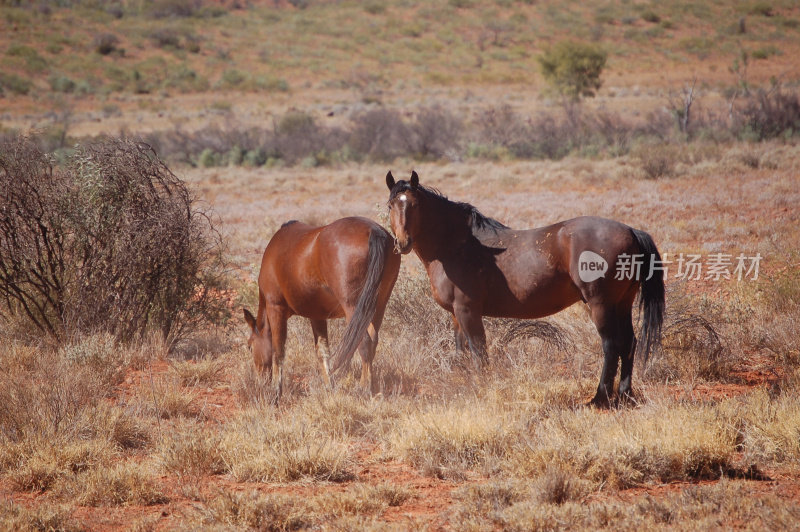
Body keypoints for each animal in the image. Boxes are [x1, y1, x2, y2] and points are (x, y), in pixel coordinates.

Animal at [239, 214, 398, 402]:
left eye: (250, 346)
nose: (260, 381)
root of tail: (373, 230)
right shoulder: (317, 316)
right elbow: (323, 351)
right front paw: (330, 388)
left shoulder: (275, 308)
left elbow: (278, 351)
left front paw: (276, 393)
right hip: (377, 307)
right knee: (373, 340)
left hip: (353, 307)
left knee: (364, 341)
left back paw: (365, 389)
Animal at [384, 170, 664, 408]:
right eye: (390, 205)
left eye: (415, 205)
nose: (402, 243)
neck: (456, 245)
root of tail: (630, 230)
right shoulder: (456, 314)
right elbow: (461, 350)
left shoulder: (467, 310)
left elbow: (478, 351)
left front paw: (483, 388)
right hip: (623, 304)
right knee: (629, 343)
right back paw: (625, 395)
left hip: (600, 305)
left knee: (611, 345)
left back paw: (599, 398)